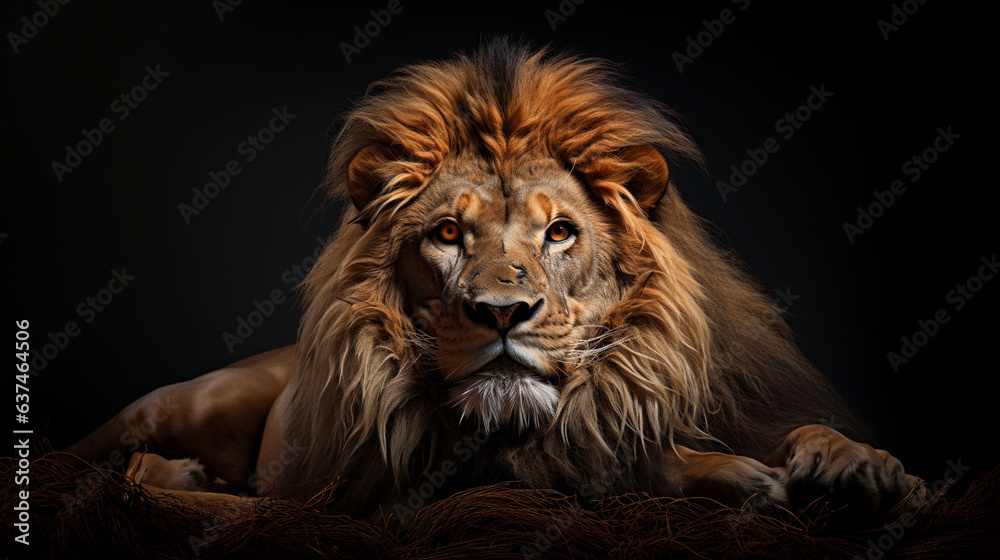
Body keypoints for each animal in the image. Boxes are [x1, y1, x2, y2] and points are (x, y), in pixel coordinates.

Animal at [67, 40, 927, 521]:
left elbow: (803, 435)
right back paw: (187, 475)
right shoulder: (416, 486)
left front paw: (866, 470)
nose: (503, 312)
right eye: (448, 234)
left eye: (561, 232)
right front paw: (738, 477)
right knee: (126, 474)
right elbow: (624, 463)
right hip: (203, 406)